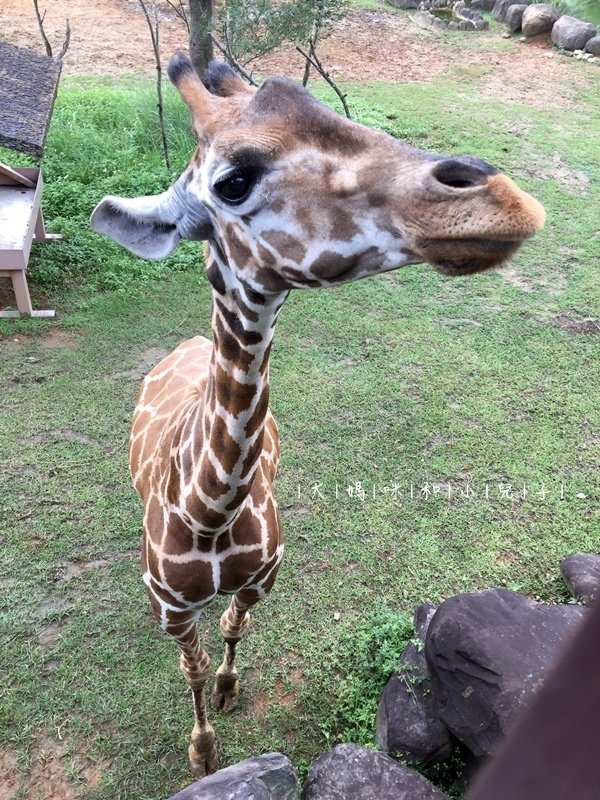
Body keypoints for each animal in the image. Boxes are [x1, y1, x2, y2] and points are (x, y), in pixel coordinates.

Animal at [91, 54, 548, 776]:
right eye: (233, 180)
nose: (502, 198)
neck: (208, 512)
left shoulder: (263, 579)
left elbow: (235, 628)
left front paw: (228, 692)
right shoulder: (172, 607)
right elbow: (190, 667)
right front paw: (203, 751)